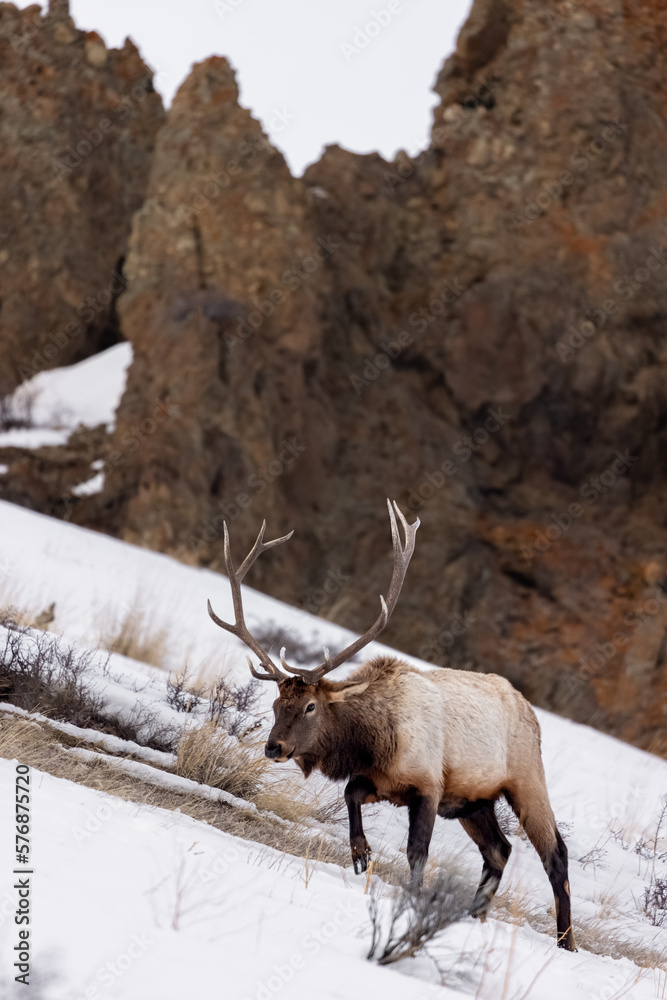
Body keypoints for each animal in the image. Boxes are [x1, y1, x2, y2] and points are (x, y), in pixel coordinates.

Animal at [207, 500, 576, 951]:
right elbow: (349, 795)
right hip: (474, 801)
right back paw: (475, 915)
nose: (273, 747)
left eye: (310, 706)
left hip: (526, 779)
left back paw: (566, 941)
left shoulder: (429, 786)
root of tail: (531, 712)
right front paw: (360, 854)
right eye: (277, 703)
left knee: (554, 854)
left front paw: (412, 898)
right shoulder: (379, 782)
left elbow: (417, 851)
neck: (374, 741)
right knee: (500, 850)